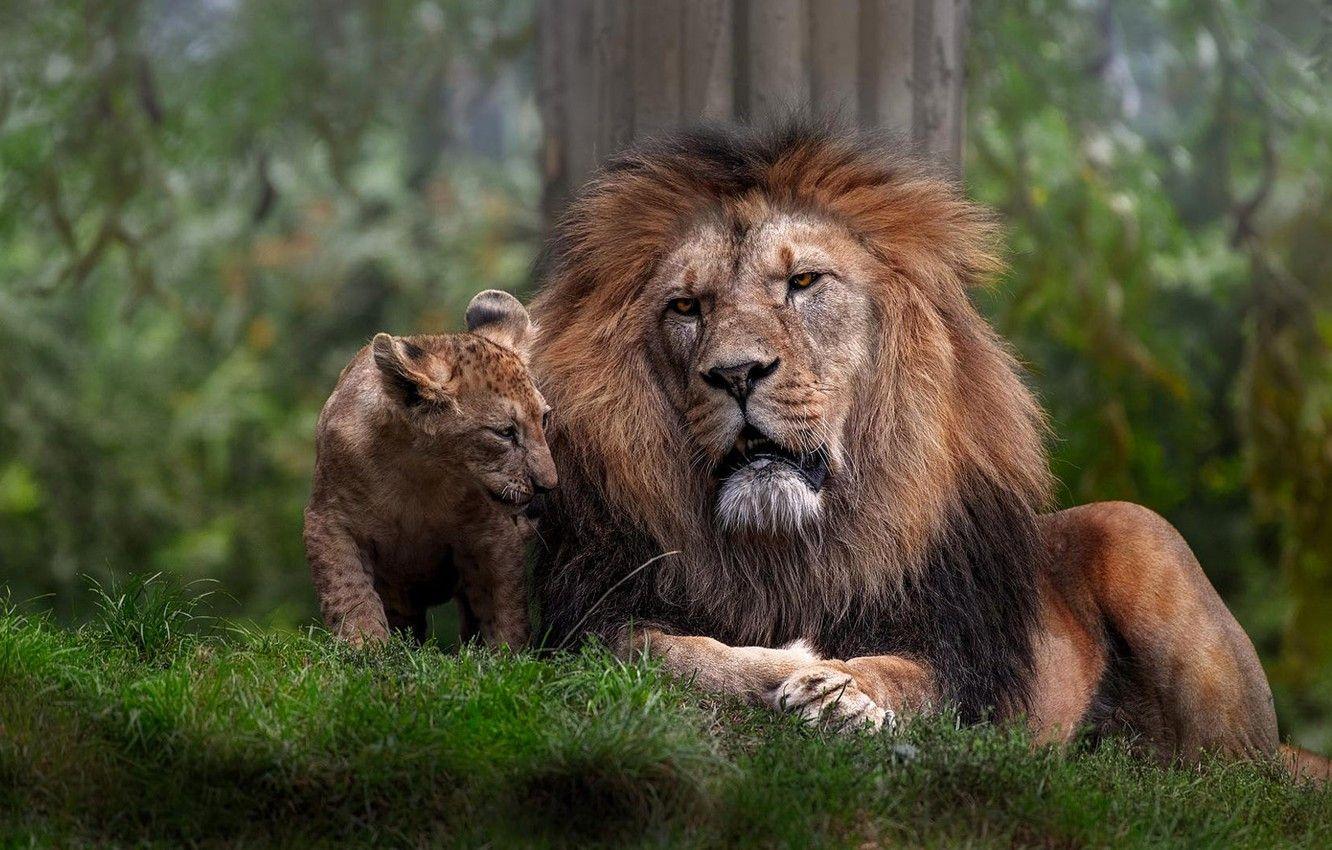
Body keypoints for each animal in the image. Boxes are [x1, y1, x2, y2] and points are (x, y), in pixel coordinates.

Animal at [305, 290, 557, 648]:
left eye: (544, 419)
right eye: (505, 432)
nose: (549, 484)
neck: (422, 471)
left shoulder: (493, 535)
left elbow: (504, 604)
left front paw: (508, 653)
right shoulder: (329, 520)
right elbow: (349, 590)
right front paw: (366, 646)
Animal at [528, 120, 1327, 778]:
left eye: (803, 282)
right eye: (686, 307)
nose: (735, 373)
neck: (786, 552)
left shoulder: (965, 660)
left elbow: (909, 678)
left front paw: (843, 697)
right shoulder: (587, 615)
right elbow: (662, 650)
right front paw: (791, 669)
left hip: (1142, 536)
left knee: (1235, 777)